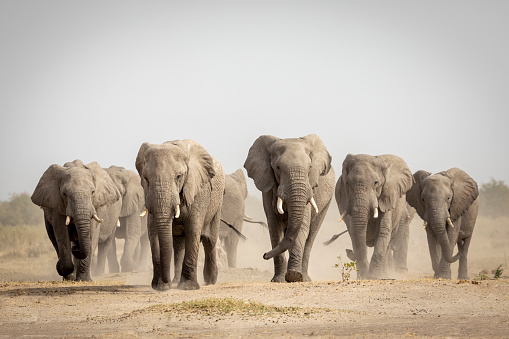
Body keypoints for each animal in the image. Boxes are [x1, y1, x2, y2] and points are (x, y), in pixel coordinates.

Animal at [135, 139, 224, 290]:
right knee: (179, 245)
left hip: (217, 202)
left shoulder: (199, 191)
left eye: (178, 176)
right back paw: (176, 281)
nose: (167, 282)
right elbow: (154, 233)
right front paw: (160, 287)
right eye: (145, 178)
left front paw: (188, 287)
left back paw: (210, 280)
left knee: (210, 240)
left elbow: (193, 230)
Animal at [242, 134, 334, 282]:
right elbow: (274, 228)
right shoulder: (268, 189)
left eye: (310, 167)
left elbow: (302, 227)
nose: (264, 255)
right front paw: (278, 280)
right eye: (278, 167)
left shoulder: (308, 189)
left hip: (326, 203)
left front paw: (294, 276)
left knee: (310, 236)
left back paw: (305, 277)